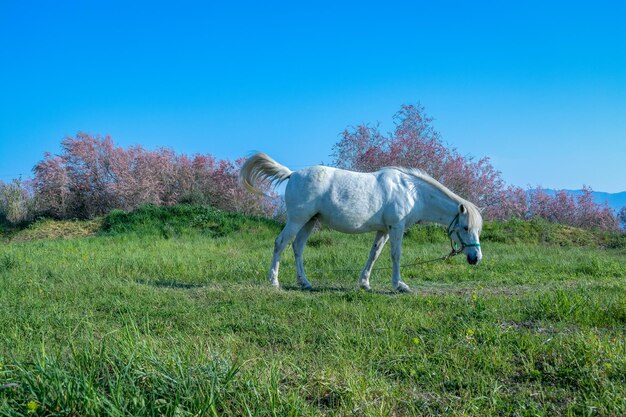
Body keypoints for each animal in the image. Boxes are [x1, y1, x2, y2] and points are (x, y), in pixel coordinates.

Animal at [239, 151, 482, 290]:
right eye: (465, 227)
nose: (476, 258)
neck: (412, 192)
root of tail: (293, 174)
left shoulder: (384, 231)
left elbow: (374, 254)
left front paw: (364, 283)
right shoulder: (396, 227)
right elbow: (396, 255)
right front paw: (399, 285)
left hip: (309, 221)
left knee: (298, 247)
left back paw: (305, 283)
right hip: (297, 220)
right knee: (281, 244)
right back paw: (274, 281)